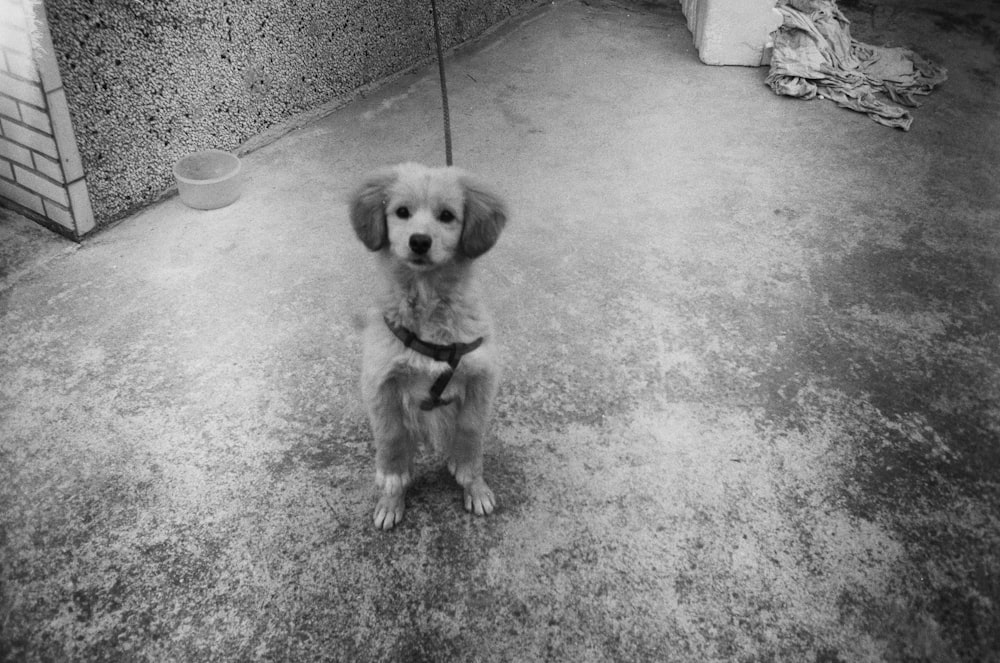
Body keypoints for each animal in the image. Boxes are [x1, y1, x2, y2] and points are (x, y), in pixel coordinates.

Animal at [350, 161, 508, 528]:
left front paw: (469, 474)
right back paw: (391, 500)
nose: (419, 241)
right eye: (401, 212)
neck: (428, 300)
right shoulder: (379, 383)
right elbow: (390, 435)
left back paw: (475, 486)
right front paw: (392, 480)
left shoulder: (482, 376)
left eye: (447, 216)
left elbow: (471, 430)